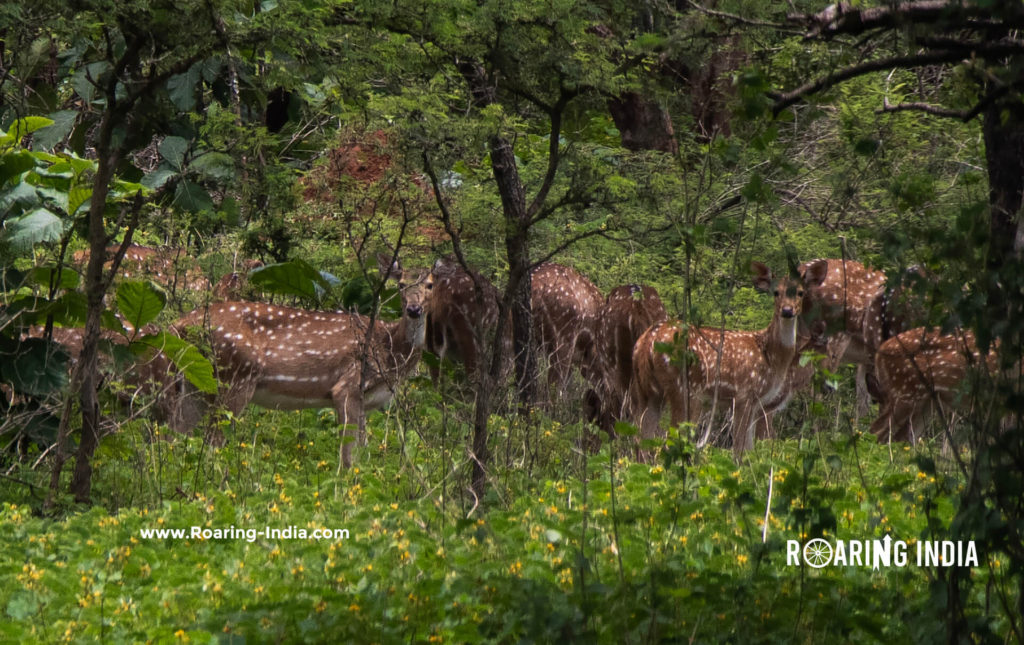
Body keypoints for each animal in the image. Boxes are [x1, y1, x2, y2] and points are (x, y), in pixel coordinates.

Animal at [173, 255, 433, 467]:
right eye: (401, 285)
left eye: (430, 285)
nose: (413, 309)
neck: (390, 350)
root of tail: (180, 324)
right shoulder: (347, 386)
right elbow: (348, 454)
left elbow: (364, 450)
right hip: (234, 377)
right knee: (212, 440)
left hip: (196, 382)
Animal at [631, 260, 829, 459]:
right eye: (776, 292)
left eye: (800, 292)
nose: (787, 311)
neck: (771, 356)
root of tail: (648, 340)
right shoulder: (744, 393)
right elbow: (739, 448)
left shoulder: (755, 403)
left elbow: (749, 449)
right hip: (686, 389)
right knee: (670, 440)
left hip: (646, 390)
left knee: (641, 439)